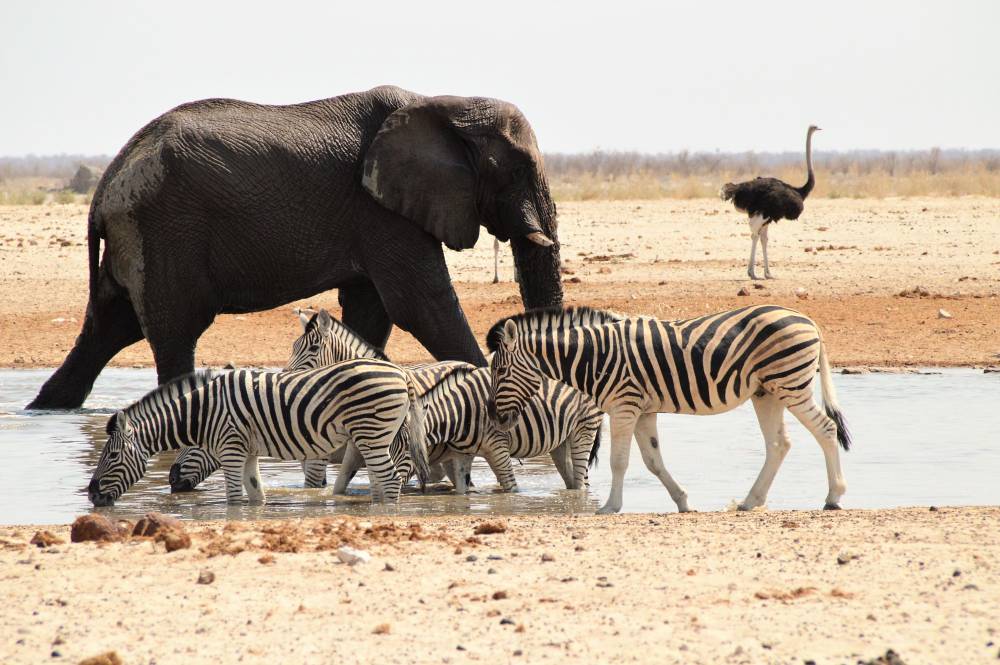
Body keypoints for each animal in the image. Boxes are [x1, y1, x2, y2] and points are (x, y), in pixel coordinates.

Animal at [27, 85, 564, 408]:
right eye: (517, 169)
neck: (446, 103)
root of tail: (105, 185)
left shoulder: (374, 214)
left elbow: (371, 312)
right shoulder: (381, 211)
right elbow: (421, 304)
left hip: (136, 237)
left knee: (107, 330)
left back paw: (44, 409)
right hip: (161, 229)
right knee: (172, 332)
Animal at [88, 360, 428, 506]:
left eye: (112, 455)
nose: (91, 495)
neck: (206, 412)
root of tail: (401, 372)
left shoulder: (230, 449)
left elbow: (233, 498)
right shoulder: (248, 451)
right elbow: (255, 495)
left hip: (372, 433)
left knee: (391, 480)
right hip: (377, 436)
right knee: (381, 481)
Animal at [486, 304, 852, 512]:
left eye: (500, 371)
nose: (494, 418)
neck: (594, 356)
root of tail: (808, 320)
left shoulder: (624, 406)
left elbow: (619, 461)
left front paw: (610, 506)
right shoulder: (643, 410)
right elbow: (653, 461)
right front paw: (683, 502)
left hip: (790, 384)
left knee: (826, 429)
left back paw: (833, 497)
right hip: (767, 392)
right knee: (778, 444)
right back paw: (750, 501)